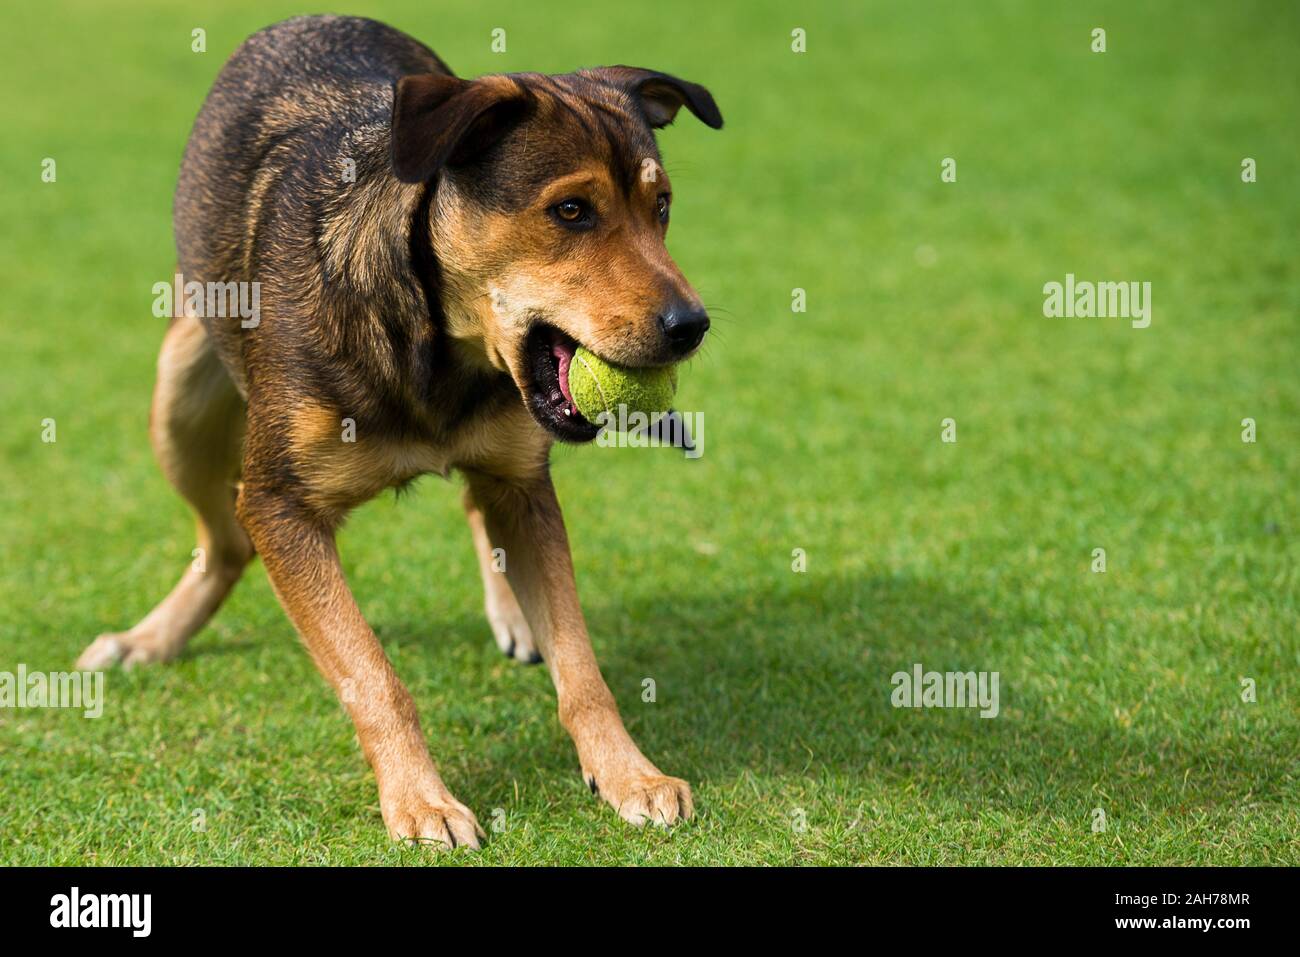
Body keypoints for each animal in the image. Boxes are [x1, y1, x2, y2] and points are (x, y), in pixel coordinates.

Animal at [77, 14, 728, 847]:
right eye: (571, 211)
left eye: (663, 205)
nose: (691, 326)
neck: (438, 351)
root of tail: (309, 18)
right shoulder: (279, 505)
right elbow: (371, 674)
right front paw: (420, 799)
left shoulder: (523, 480)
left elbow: (581, 666)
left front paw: (628, 773)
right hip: (180, 401)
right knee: (224, 543)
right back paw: (150, 638)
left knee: (474, 501)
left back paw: (510, 611)